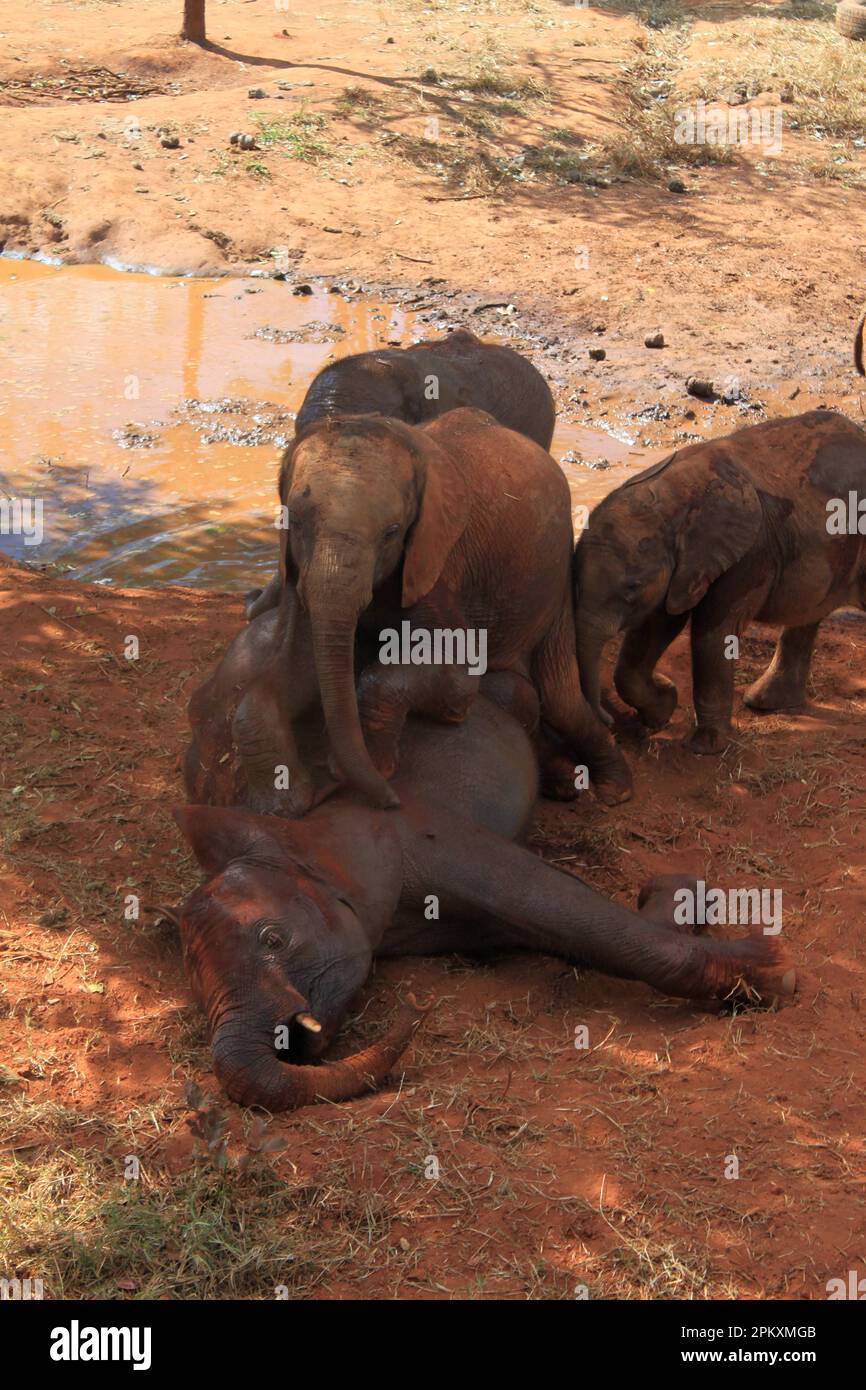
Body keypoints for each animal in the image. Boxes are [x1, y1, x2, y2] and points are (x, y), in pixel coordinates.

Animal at [176, 656, 795, 1112]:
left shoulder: (436, 843)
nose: (416, 1010)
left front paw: (772, 967)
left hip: (507, 696)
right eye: (195, 984)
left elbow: (583, 917)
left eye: (274, 939)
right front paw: (692, 906)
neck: (314, 845)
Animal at [575, 405, 866, 756]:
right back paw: (765, 703)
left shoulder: (749, 553)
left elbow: (712, 634)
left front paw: (705, 747)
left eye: (632, 589)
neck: (674, 495)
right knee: (809, 615)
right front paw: (662, 710)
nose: (608, 723)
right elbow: (657, 625)